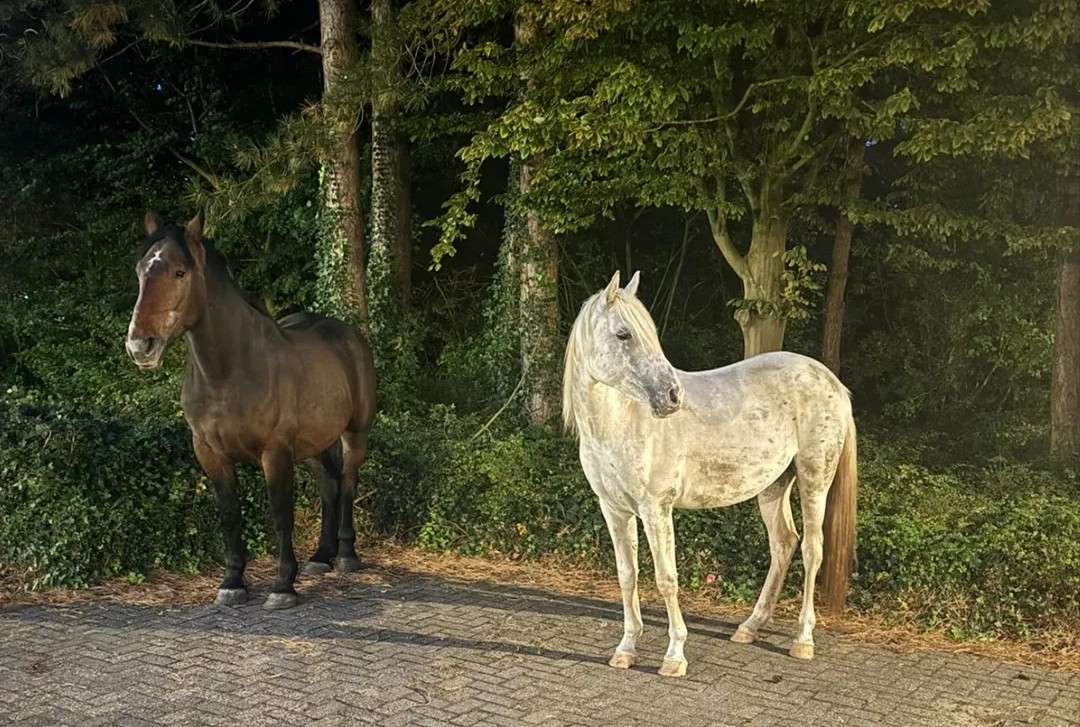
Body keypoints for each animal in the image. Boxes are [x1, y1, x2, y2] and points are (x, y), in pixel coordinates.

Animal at [124, 211, 377, 610]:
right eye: (140, 271)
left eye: (179, 272)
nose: (140, 346)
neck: (229, 373)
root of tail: (349, 335)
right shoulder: (210, 453)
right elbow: (230, 515)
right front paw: (232, 582)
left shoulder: (275, 452)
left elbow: (280, 515)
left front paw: (282, 587)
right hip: (314, 444)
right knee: (329, 484)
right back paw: (321, 557)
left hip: (355, 433)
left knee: (349, 482)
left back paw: (346, 556)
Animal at [562, 271, 857, 677]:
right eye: (624, 334)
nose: (673, 396)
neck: (619, 424)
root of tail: (831, 381)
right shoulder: (615, 511)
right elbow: (627, 576)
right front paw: (626, 649)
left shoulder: (656, 510)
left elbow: (666, 579)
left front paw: (674, 656)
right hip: (774, 486)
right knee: (784, 543)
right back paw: (750, 627)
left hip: (815, 479)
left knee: (812, 550)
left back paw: (803, 640)